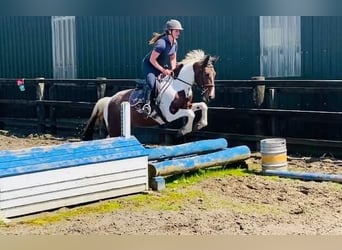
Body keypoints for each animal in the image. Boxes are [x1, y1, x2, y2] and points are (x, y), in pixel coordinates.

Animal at [81, 49, 218, 141]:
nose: (211, 96)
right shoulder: (169, 114)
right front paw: (183, 131)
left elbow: (202, 106)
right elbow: (191, 114)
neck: (178, 86)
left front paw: (200, 124)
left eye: (214, 74)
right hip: (115, 127)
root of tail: (109, 100)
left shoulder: (186, 106)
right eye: (207, 74)